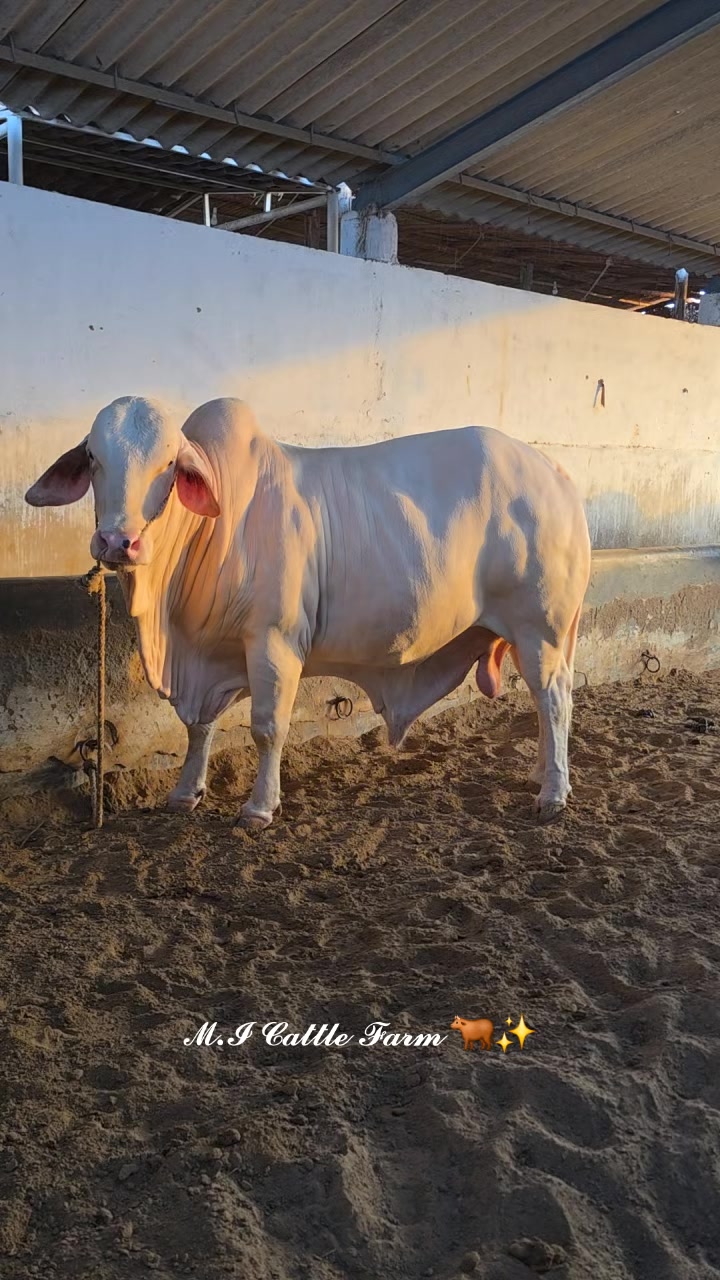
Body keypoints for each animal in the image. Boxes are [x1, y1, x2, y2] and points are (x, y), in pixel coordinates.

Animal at [25, 396, 591, 829]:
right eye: (93, 456)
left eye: (168, 464)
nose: (118, 541)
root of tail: (555, 473)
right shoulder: (207, 654)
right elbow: (199, 727)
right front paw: (186, 793)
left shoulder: (273, 641)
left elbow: (266, 727)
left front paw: (259, 808)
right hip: (523, 635)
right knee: (544, 703)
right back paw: (544, 776)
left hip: (540, 628)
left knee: (554, 698)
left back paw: (553, 794)